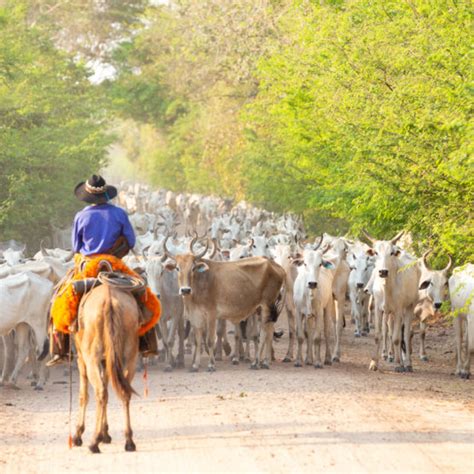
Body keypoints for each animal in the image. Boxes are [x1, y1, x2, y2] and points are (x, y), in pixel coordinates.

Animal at [71, 284, 140, 454]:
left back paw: (93, 442)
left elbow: (84, 395)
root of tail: (110, 301)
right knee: (124, 391)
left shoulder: (82, 359)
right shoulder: (108, 360)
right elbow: (108, 391)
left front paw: (78, 435)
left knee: (100, 392)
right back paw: (129, 441)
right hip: (130, 356)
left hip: (91, 358)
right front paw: (106, 434)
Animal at [163, 235, 286, 372]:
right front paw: (195, 365)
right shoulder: (196, 316)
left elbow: (210, 340)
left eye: (193, 268)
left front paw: (211, 364)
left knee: (264, 334)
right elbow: (197, 340)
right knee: (269, 332)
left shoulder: (211, 314)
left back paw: (256, 362)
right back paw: (265, 362)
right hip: (264, 309)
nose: (185, 290)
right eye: (177, 268)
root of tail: (275, 265)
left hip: (266, 306)